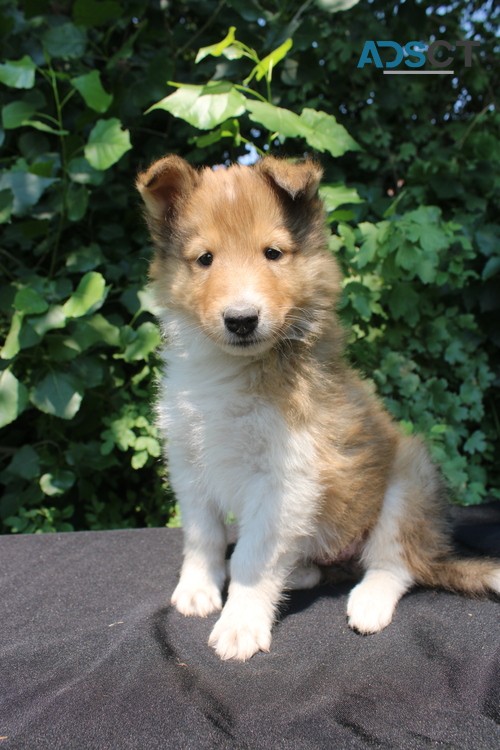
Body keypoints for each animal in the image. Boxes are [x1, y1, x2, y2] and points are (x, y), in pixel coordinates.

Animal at [136, 156, 500, 660]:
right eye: (205, 259)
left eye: (272, 253)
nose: (242, 320)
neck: (234, 367)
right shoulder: (189, 461)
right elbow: (202, 534)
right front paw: (198, 591)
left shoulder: (287, 478)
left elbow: (253, 557)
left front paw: (240, 624)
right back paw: (300, 572)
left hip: (411, 480)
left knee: (396, 563)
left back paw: (368, 601)